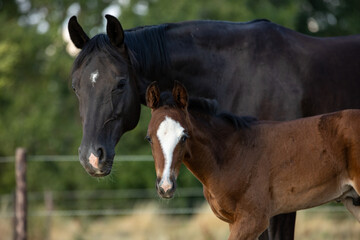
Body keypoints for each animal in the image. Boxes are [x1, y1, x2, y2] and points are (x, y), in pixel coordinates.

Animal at [145, 81, 358, 239]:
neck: (232, 154)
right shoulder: (234, 222)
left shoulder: (253, 220)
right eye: (149, 138)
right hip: (353, 199)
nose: (165, 187)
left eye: (184, 136)